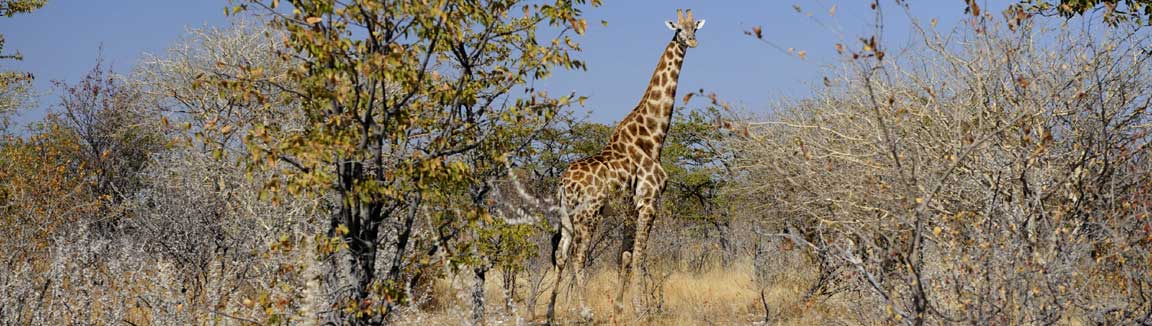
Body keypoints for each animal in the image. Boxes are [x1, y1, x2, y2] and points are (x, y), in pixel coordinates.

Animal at [546, 7, 705, 324]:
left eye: (695, 27)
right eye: (678, 30)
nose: (692, 41)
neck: (653, 137)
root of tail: (562, 184)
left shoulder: (631, 209)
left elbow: (626, 256)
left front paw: (619, 309)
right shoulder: (649, 202)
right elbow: (642, 255)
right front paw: (641, 309)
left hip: (567, 217)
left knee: (561, 255)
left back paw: (549, 312)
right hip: (589, 214)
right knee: (579, 257)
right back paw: (585, 311)